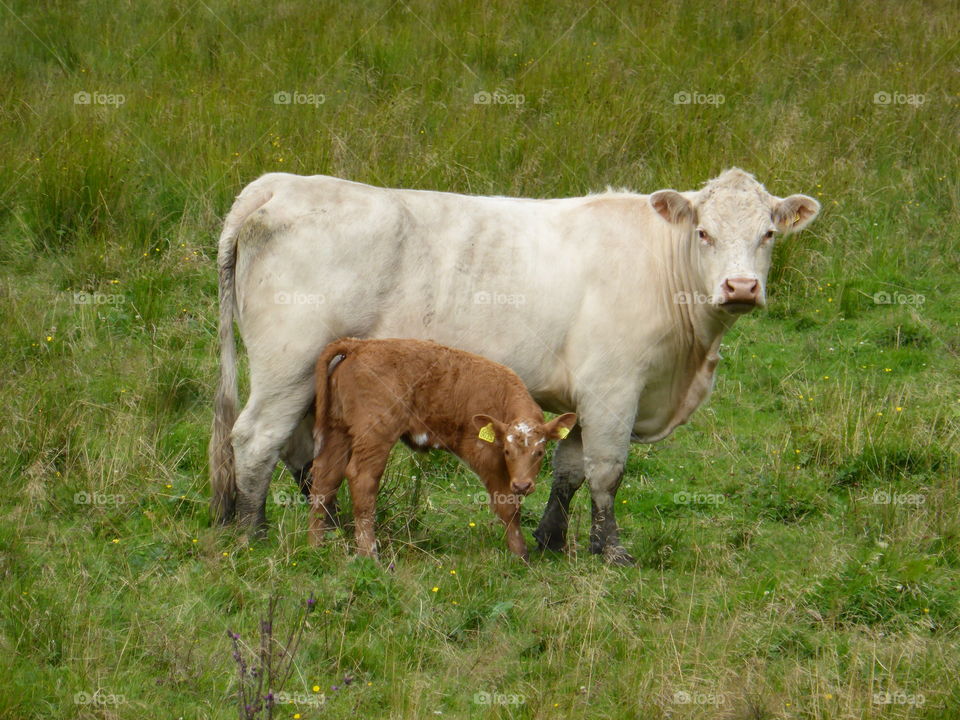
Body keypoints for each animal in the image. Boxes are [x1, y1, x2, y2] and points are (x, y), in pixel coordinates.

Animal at [308, 337, 577, 559]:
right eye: (507, 452)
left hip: (338, 430)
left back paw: (315, 545)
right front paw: (521, 555)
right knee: (361, 480)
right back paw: (368, 554)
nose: (523, 485)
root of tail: (359, 345)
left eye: (540, 452)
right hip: (375, 434)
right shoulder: (484, 454)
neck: (501, 397)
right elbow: (507, 505)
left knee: (325, 479)